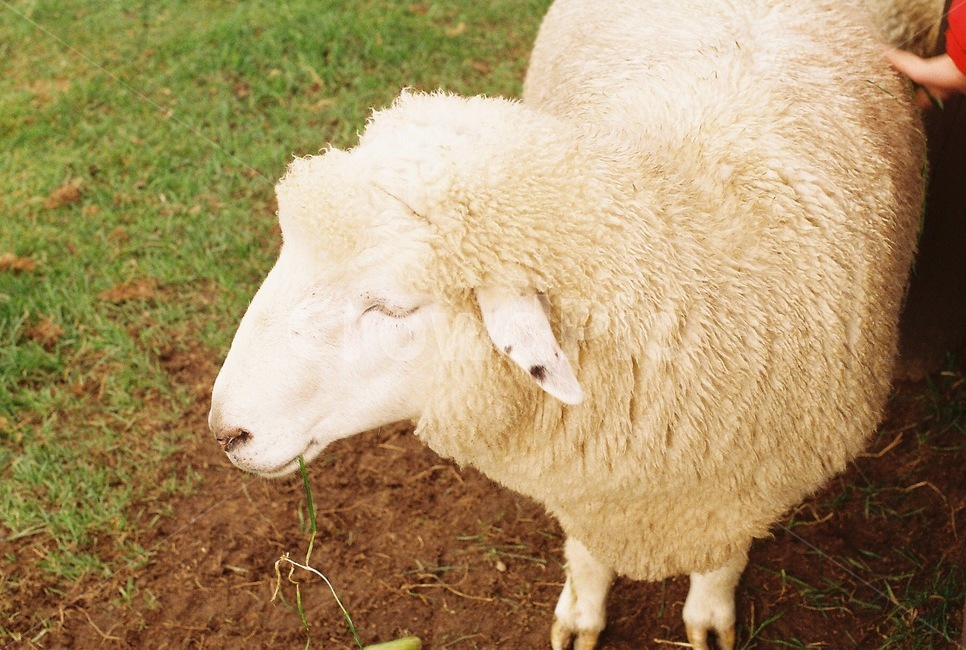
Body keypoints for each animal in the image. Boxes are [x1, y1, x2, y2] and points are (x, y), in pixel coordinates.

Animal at [208, 0, 925, 648]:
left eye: (392, 306)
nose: (225, 430)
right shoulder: (589, 476)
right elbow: (584, 551)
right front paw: (582, 612)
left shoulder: (744, 490)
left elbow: (721, 562)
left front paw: (709, 614)